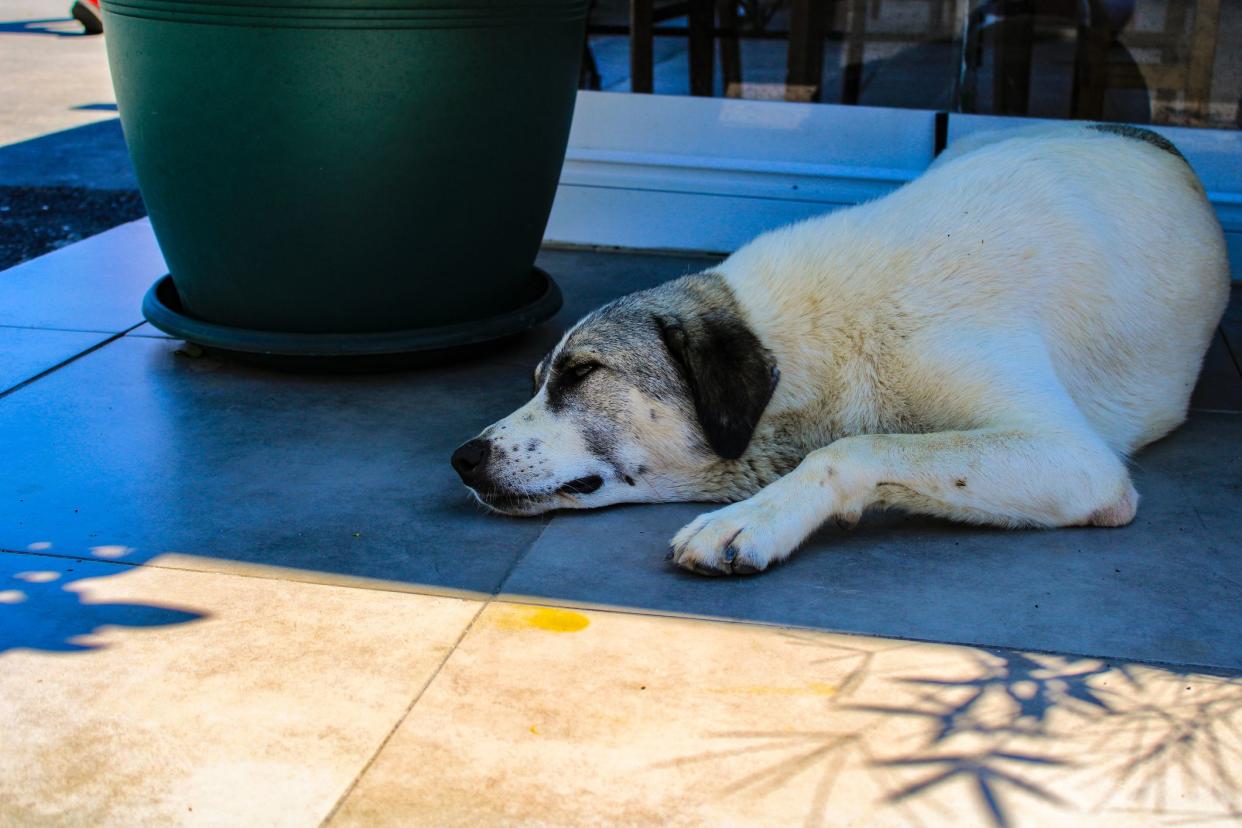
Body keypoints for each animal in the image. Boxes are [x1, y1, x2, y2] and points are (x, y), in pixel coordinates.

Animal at [452, 122, 1227, 576]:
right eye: (537, 380)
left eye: (583, 372)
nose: (462, 458)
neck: (812, 342)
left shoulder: (1075, 458)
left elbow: (855, 448)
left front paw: (753, 518)